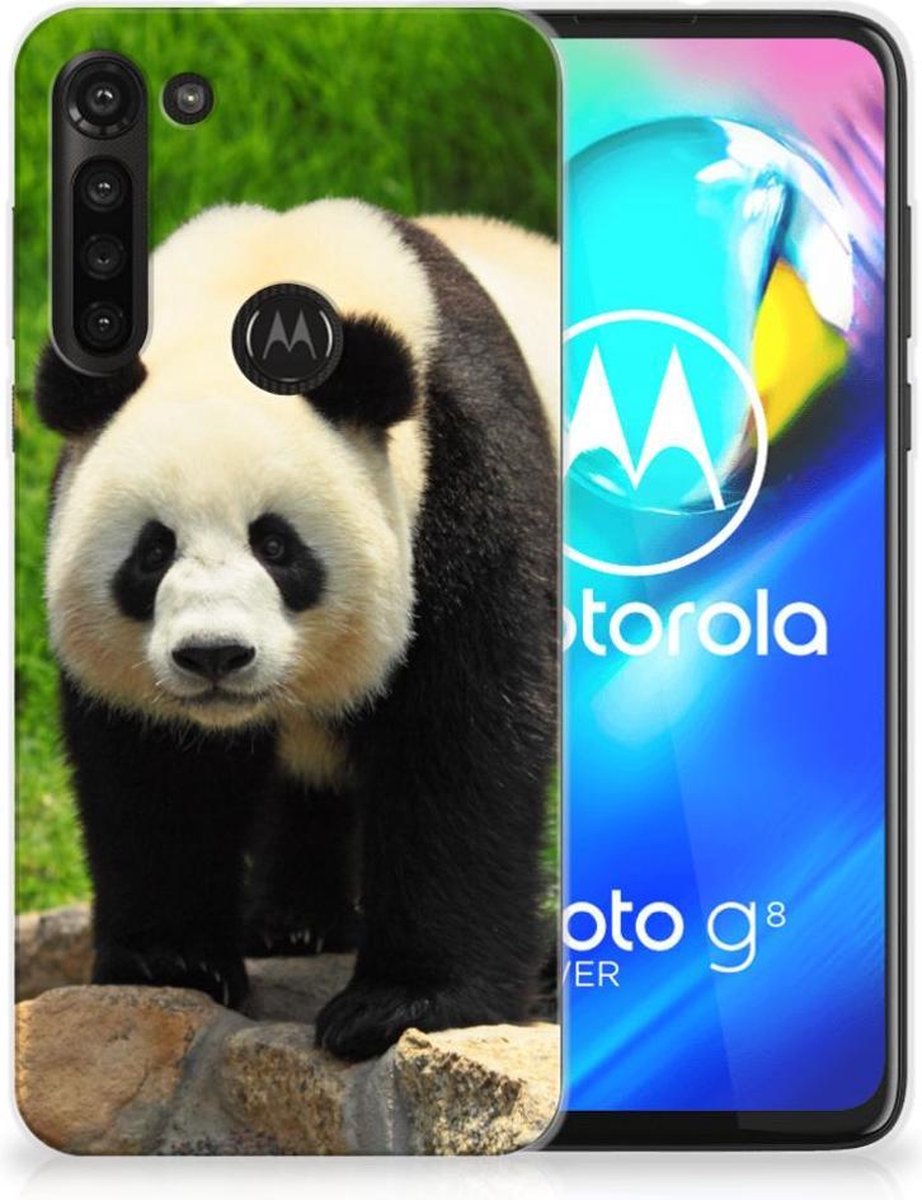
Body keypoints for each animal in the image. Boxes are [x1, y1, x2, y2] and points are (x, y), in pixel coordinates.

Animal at [35, 199, 558, 1062]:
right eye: (152, 551)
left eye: (276, 545)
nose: (214, 655)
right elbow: (155, 767)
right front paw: (171, 960)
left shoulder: (465, 477)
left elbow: (462, 737)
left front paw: (401, 1003)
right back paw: (294, 923)